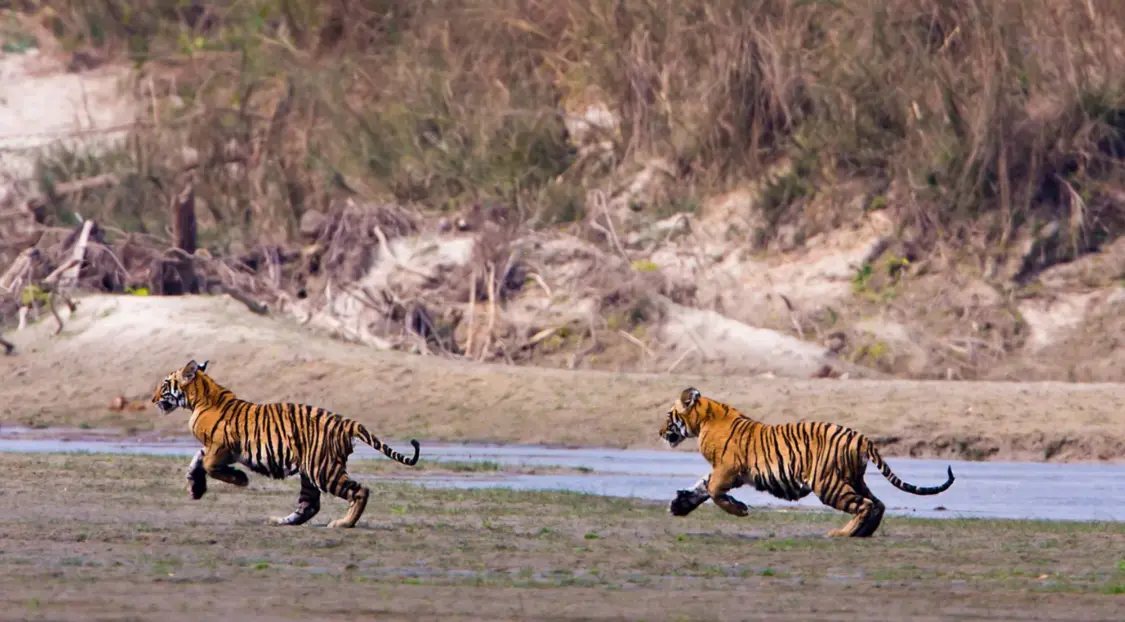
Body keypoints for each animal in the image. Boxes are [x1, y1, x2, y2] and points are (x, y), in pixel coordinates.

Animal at [154, 359, 423, 528]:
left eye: (165, 384)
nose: (153, 399)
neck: (201, 398)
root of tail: (346, 422)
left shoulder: (222, 446)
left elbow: (209, 465)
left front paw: (240, 479)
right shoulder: (216, 448)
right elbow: (197, 459)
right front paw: (195, 487)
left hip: (322, 469)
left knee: (359, 491)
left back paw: (343, 523)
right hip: (310, 472)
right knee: (310, 505)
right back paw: (281, 521)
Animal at [657, 384, 958, 535]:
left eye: (668, 416)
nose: (659, 433)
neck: (704, 419)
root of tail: (860, 437)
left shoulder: (728, 468)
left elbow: (713, 490)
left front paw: (739, 509)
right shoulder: (724, 470)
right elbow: (702, 486)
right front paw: (679, 505)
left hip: (827, 484)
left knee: (865, 505)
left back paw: (843, 533)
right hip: (851, 478)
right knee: (878, 503)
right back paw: (862, 533)